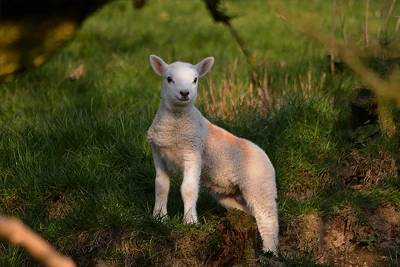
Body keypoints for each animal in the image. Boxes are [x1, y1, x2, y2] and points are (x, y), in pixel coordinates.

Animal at [147, 55, 278, 255]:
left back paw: (271, 251)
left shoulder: (193, 153)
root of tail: (263, 154)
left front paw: (190, 222)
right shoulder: (159, 154)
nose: (184, 93)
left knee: (268, 217)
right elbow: (161, 186)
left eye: (195, 80)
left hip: (259, 183)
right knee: (252, 213)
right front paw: (159, 218)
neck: (175, 127)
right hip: (229, 195)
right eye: (169, 79)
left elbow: (188, 188)